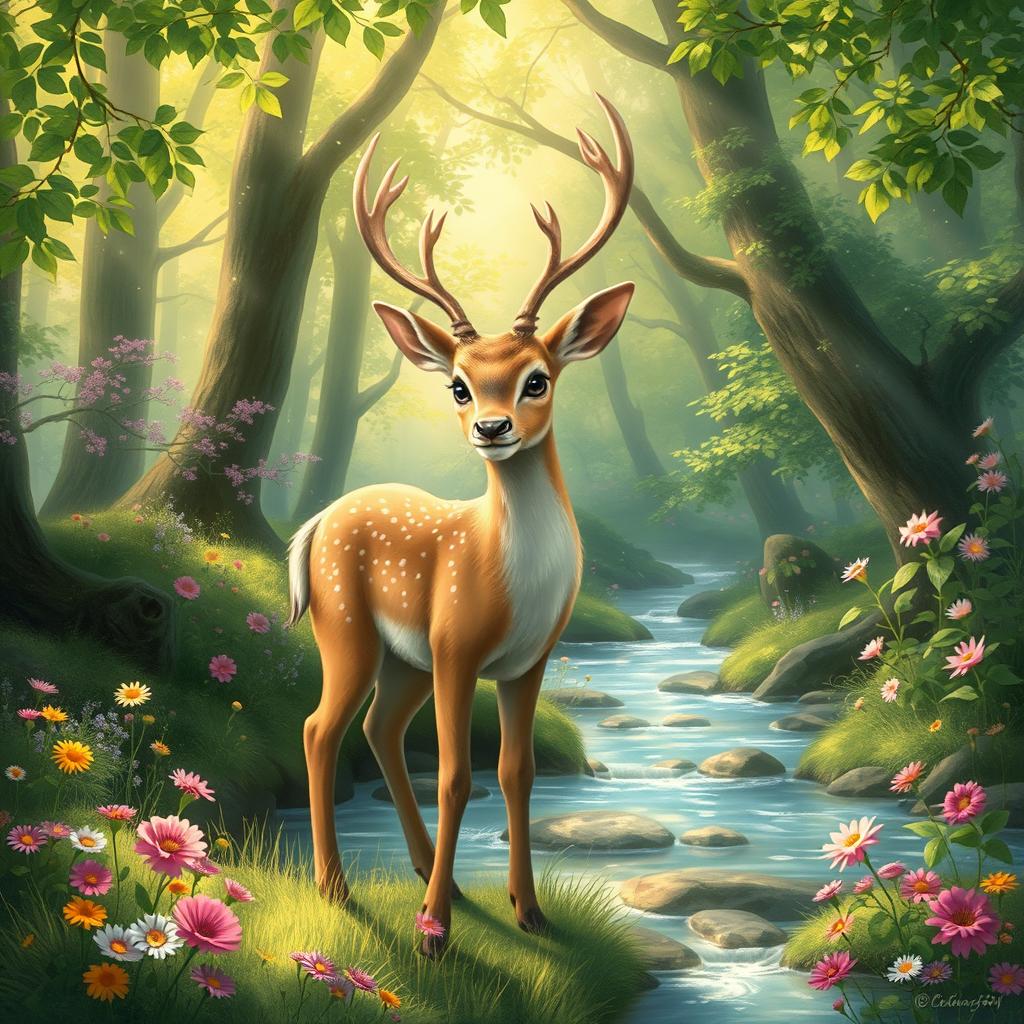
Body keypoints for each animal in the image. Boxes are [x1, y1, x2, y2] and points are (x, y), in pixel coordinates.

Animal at [286, 94, 634, 957]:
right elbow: (455, 774)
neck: (515, 578)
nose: (492, 428)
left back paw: (420, 872)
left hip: (402, 659)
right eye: (457, 386)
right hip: (348, 625)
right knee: (319, 728)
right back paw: (340, 888)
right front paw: (437, 933)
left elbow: (517, 771)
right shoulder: (454, 645)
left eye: (538, 378)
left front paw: (529, 910)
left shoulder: (529, 658)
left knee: (378, 729)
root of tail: (315, 523)